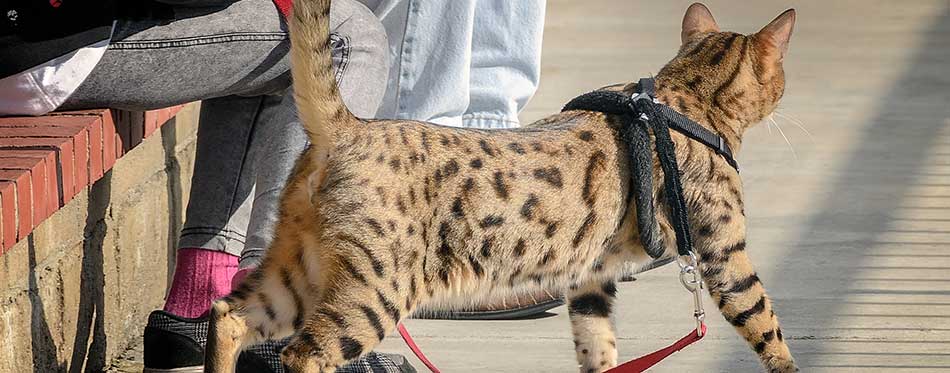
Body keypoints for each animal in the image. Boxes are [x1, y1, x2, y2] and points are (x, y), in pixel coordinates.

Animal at [206, 2, 796, 372]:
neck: (683, 98)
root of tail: (351, 125)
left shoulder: (592, 276)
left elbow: (597, 345)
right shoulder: (724, 254)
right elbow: (767, 325)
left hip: (298, 270)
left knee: (228, 315)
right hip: (373, 290)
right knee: (304, 353)